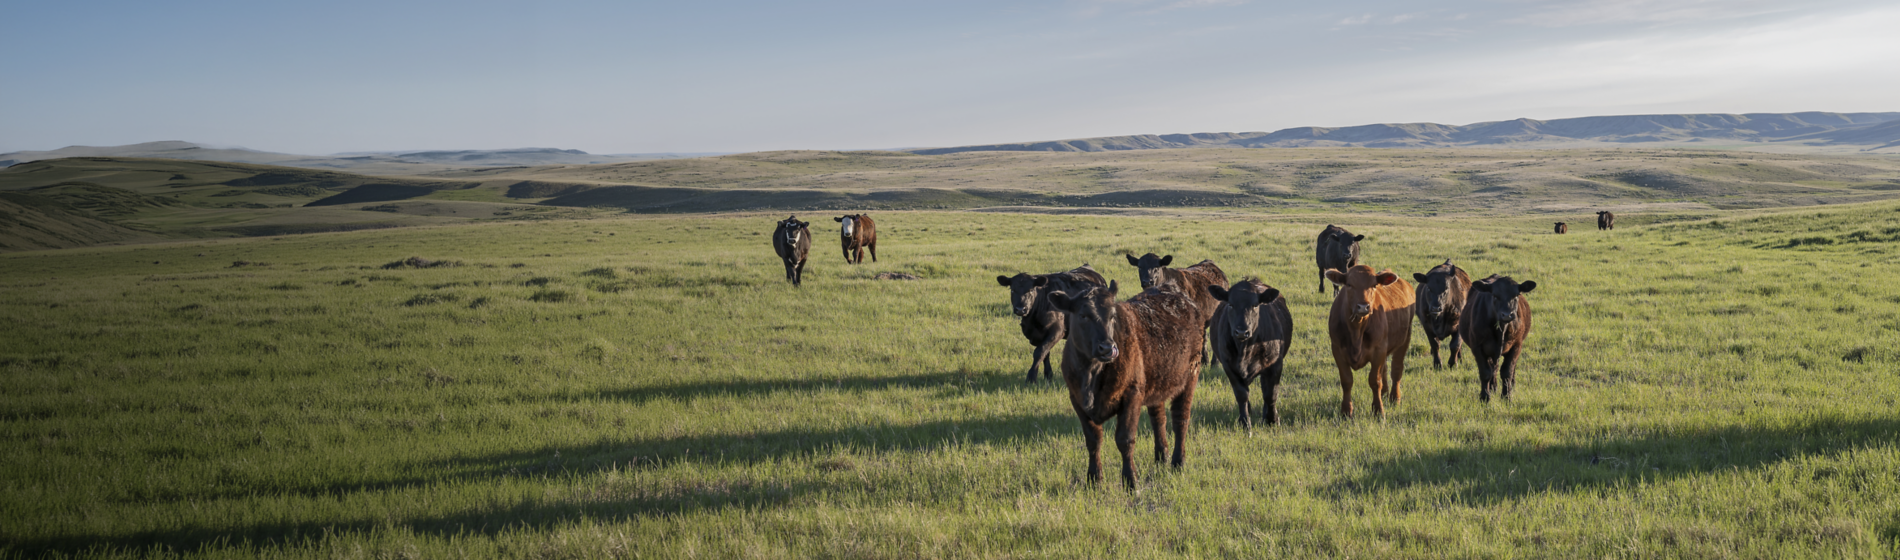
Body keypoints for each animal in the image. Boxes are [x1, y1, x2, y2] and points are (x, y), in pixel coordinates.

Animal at [1046, 281, 1203, 489]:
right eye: (1083, 315)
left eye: (1112, 315)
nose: (1107, 348)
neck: (1091, 373)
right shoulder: (1077, 399)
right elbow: (1093, 440)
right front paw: (1094, 479)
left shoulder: (1131, 395)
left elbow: (1125, 439)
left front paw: (1131, 481)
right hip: (1156, 383)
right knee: (1159, 420)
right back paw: (1161, 458)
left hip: (1191, 374)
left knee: (1180, 420)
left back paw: (1178, 462)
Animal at [1206, 278, 1293, 431]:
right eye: (1230, 304)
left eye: (1255, 305)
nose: (1241, 332)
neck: (1245, 350)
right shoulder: (1229, 367)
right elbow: (1242, 395)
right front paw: (1245, 423)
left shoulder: (1275, 364)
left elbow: (1271, 394)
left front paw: (1272, 420)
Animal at [1324, 264, 1414, 419]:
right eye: (1349, 284)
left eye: (1373, 285)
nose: (1363, 306)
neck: (1356, 330)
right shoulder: (1337, 350)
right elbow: (1346, 380)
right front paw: (1346, 411)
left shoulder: (1378, 350)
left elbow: (1374, 380)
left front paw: (1378, 410)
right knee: (1385, 369)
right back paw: (1384, 393)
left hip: (1404, 340)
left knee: (1396, 370)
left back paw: (1394, 397)